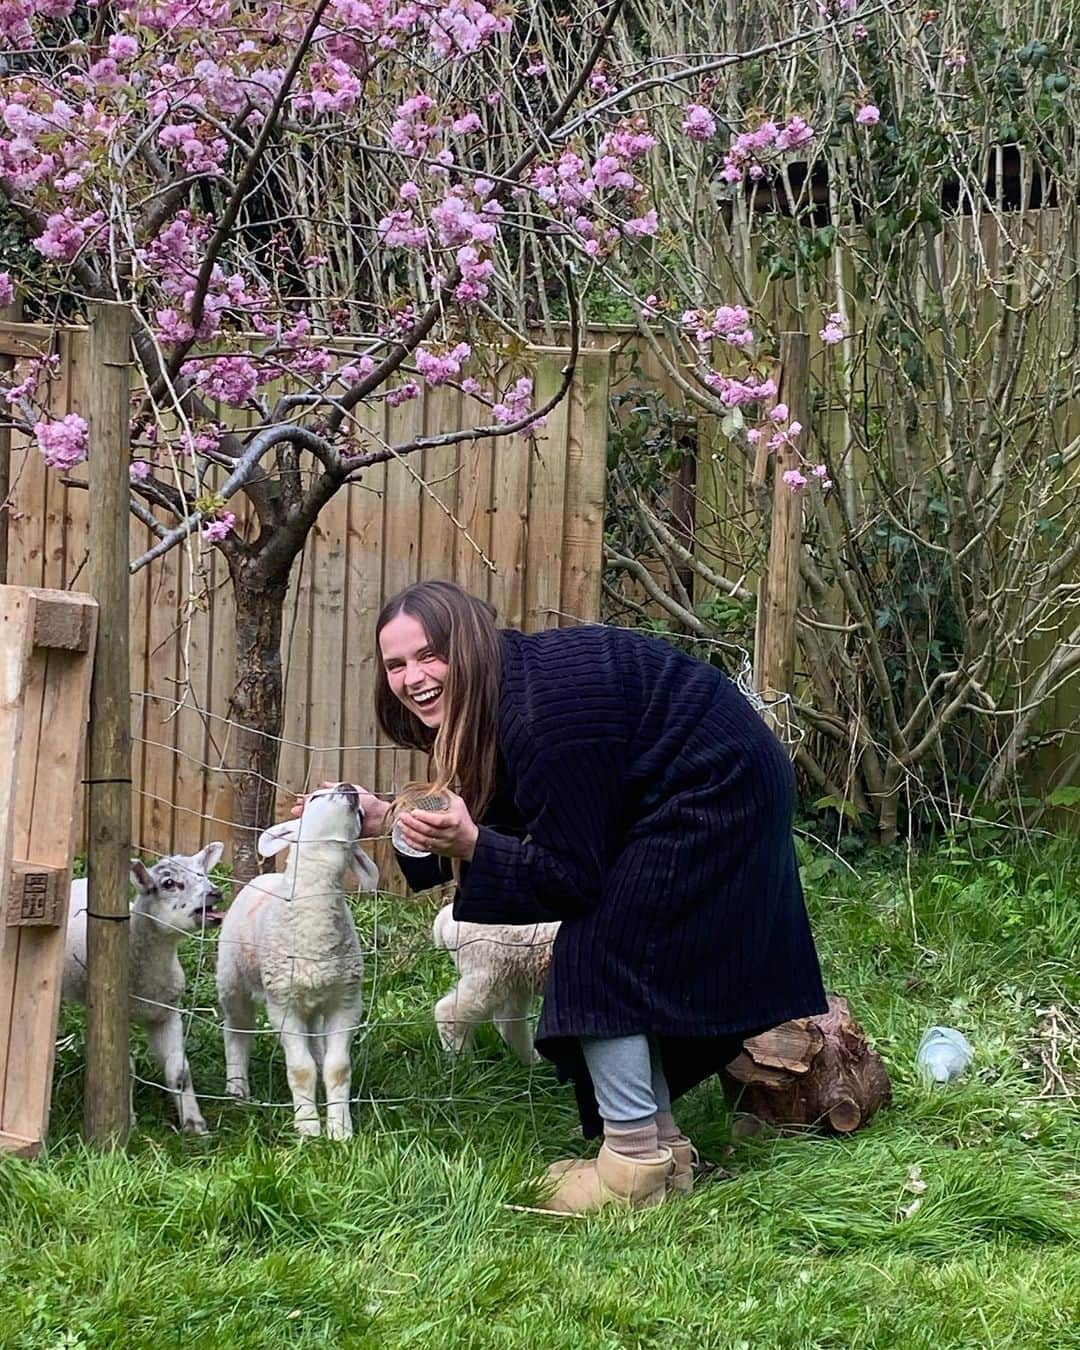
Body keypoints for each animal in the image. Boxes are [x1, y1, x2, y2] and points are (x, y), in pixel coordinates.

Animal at [62, 842, 224, 1139]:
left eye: (203, 874)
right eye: (169, 883)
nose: (215, 893)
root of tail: (80, 880)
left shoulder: (167, 1011)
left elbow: (179, 1071)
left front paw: (194, 1124)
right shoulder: (118, 1013)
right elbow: (124, 1068)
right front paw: (129, 1122)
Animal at [213, 783, 378, 1139]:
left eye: (360, 815)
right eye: (315, 797)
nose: (349, 788)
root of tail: (265, 878)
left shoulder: (346, 1001)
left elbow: (337, 1068)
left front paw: (340, 1129)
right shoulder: (283, 1005)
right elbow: (301, 1069)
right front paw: (308, 1128)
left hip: (313, 1000)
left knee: (316, 1048)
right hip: (232, 979)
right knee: (236, 1030)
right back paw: (237, 1088)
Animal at [432, 907, 561, 1063]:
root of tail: (445, 917)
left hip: (514, 979)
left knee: (509, 1022)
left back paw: (532, 1062)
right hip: (489, 973)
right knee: (449, 1012)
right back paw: (463, 1063)